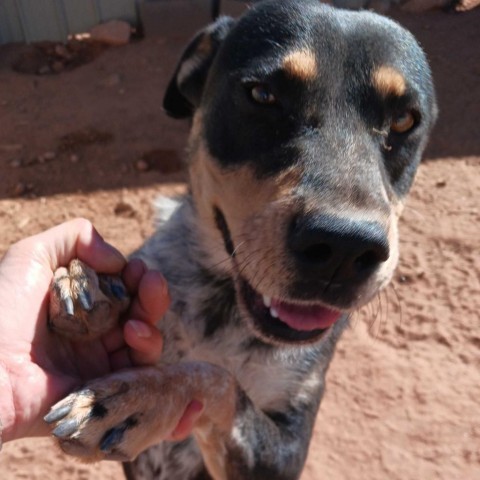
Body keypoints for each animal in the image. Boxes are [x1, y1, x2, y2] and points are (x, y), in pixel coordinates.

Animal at [46, 1, 438, 478]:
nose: (344, 250)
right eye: (262, 95)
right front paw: (82, 283)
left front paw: (136, 399)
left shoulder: (284, 448)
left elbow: (213, 378)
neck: (225, 310)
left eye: (404, 120)